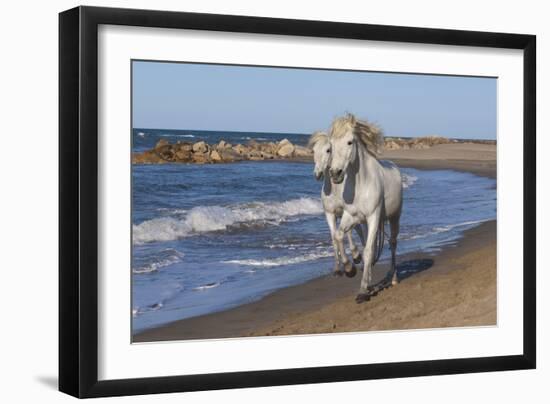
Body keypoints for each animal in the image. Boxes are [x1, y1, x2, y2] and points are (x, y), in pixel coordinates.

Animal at [310, 131, 366, 276]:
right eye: (313, 151)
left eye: (328, 150)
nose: (317, 174)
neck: (334, 191)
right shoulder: (330, 214)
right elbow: (334, 237)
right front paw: (337, 268)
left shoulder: (347, 212)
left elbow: (348, 233)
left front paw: (355, 256)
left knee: (362, 230)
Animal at [330, 113, 404, 304]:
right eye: (330, 145)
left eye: (349, 142)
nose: (335, 173)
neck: (362, 182)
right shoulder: (351, 216)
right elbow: (339, 235)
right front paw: (350, 269)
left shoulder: (373, 217)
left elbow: (369, 250)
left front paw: (363, 291)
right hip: (363, 222)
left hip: (394, 217)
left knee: (393, 243)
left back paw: (393, 278)